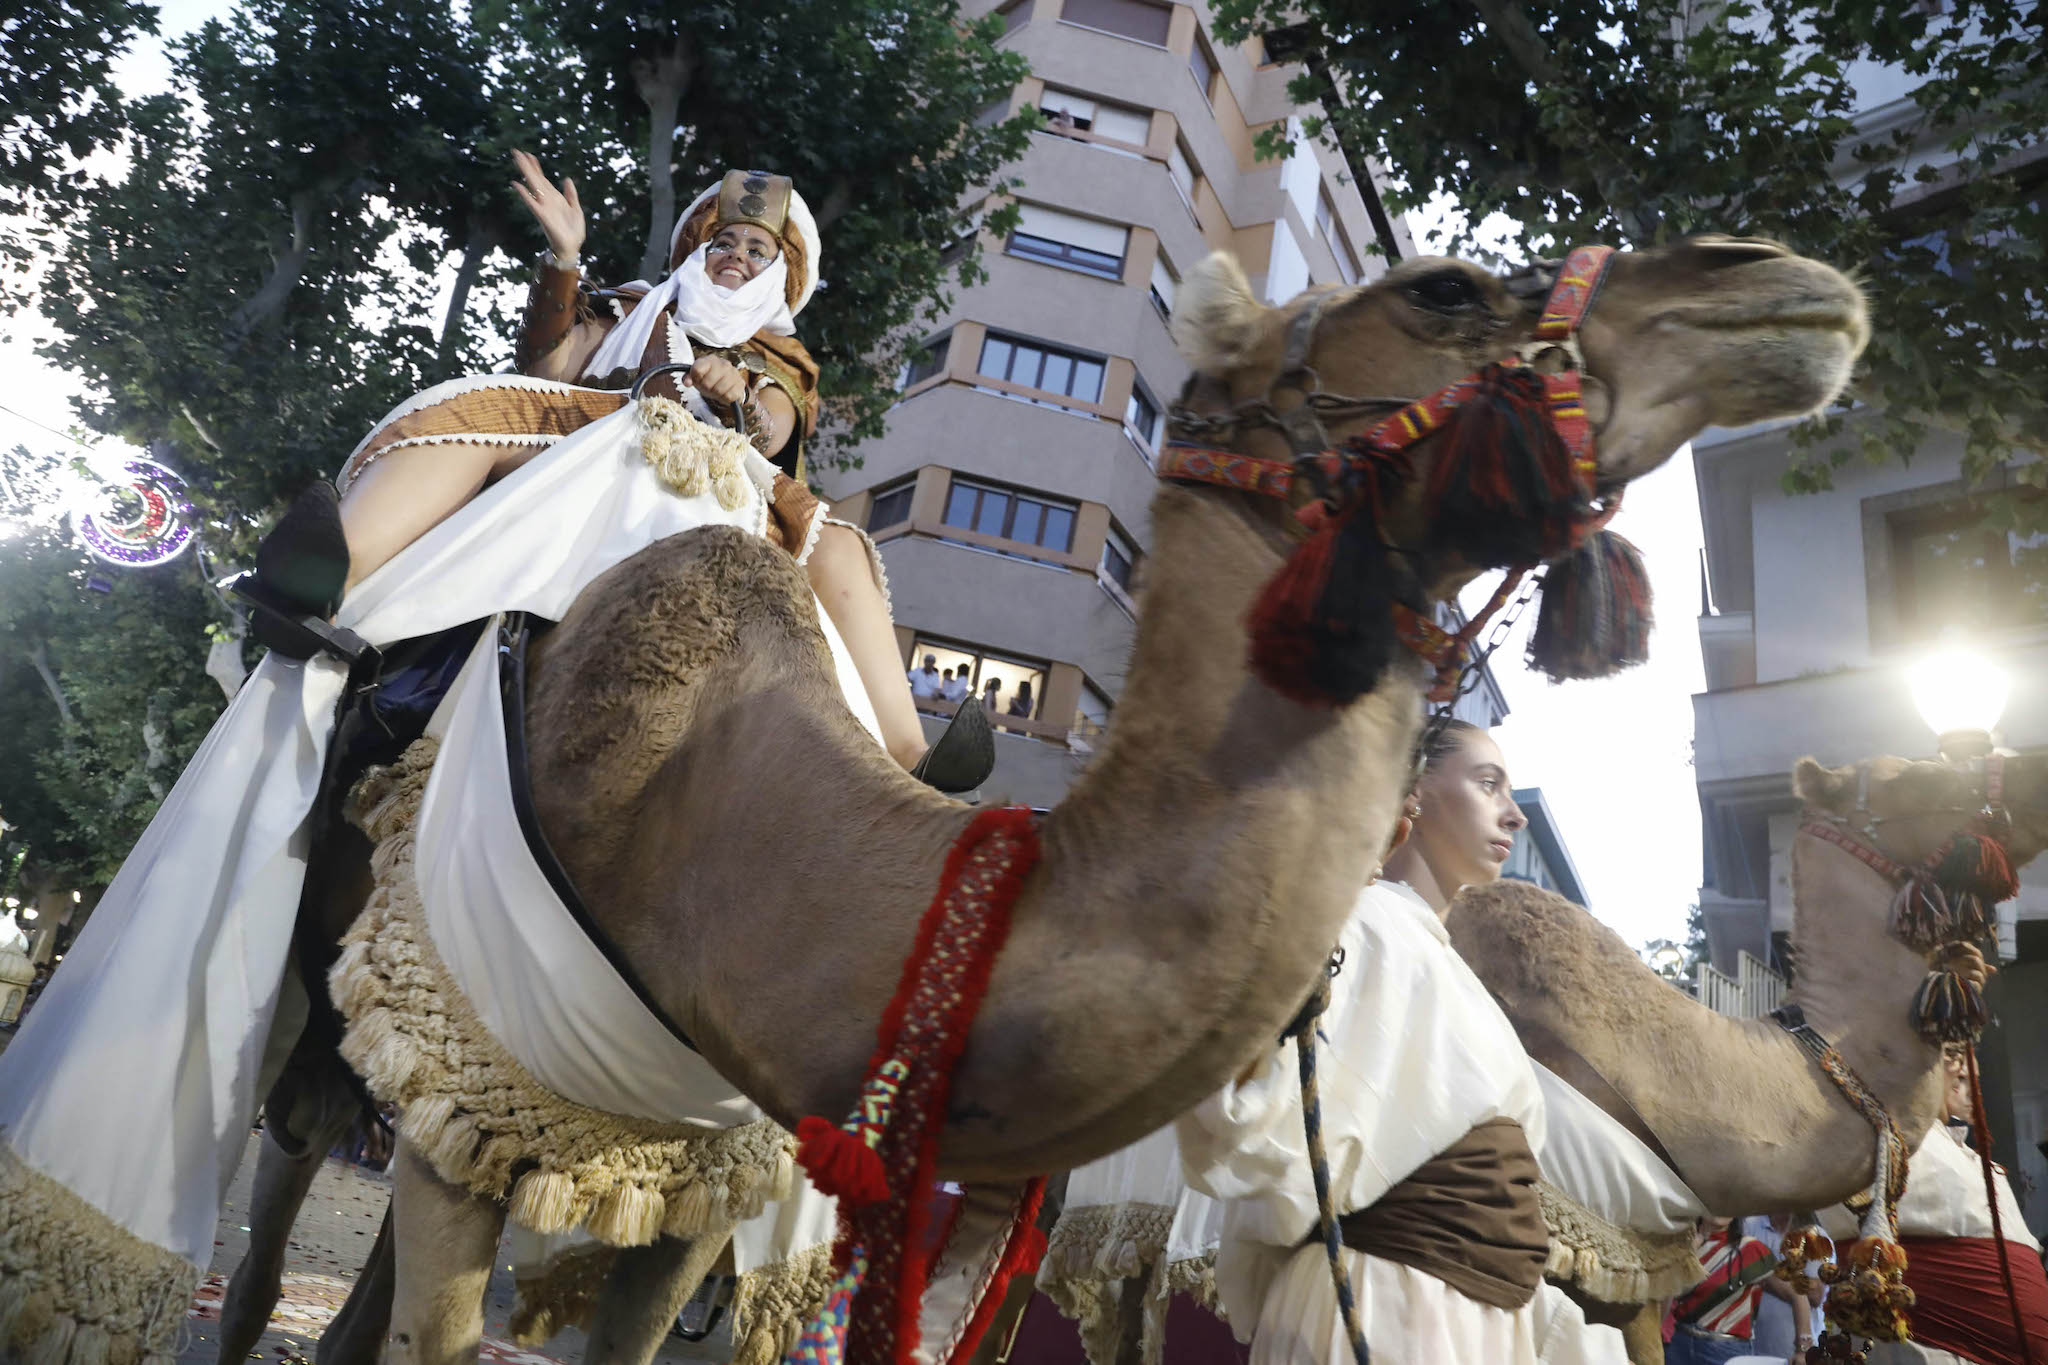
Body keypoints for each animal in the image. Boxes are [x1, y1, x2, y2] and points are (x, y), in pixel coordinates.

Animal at [216, 237, 1867, 1365]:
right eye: (1444, 290)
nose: (1775, 285)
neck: (686, 788)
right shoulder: (462, 1038)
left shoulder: (688, 1144)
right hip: (333, 993)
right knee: (274, 1203)